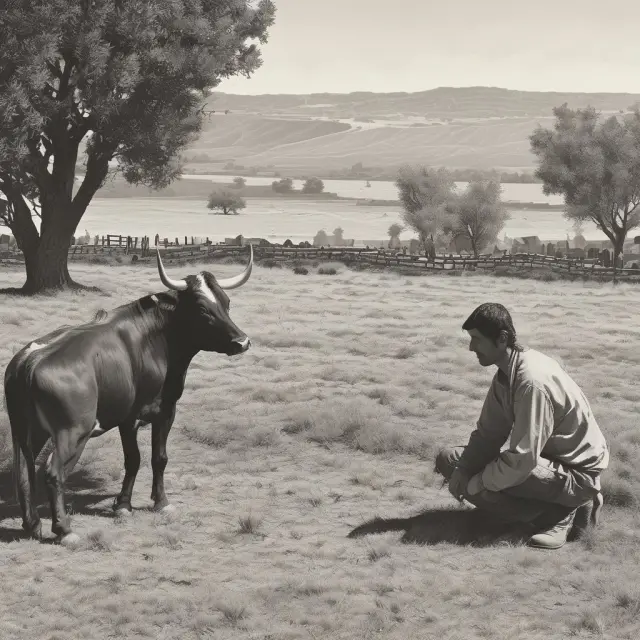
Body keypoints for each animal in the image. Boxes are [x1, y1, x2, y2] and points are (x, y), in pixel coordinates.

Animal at [4, 246, 253, 546]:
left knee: (23, 471)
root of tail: (31, 358)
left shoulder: (135, 418)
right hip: (72, 432)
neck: (154, 340)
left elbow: (145, 459)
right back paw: (64, 529)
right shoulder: (155, 412)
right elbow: (148, 458)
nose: (242, 341)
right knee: (53, 472)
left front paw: (135, 503)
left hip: (27, 431)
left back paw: (32, 524)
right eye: (202, 308)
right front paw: (148, 503)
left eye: (226, 303)